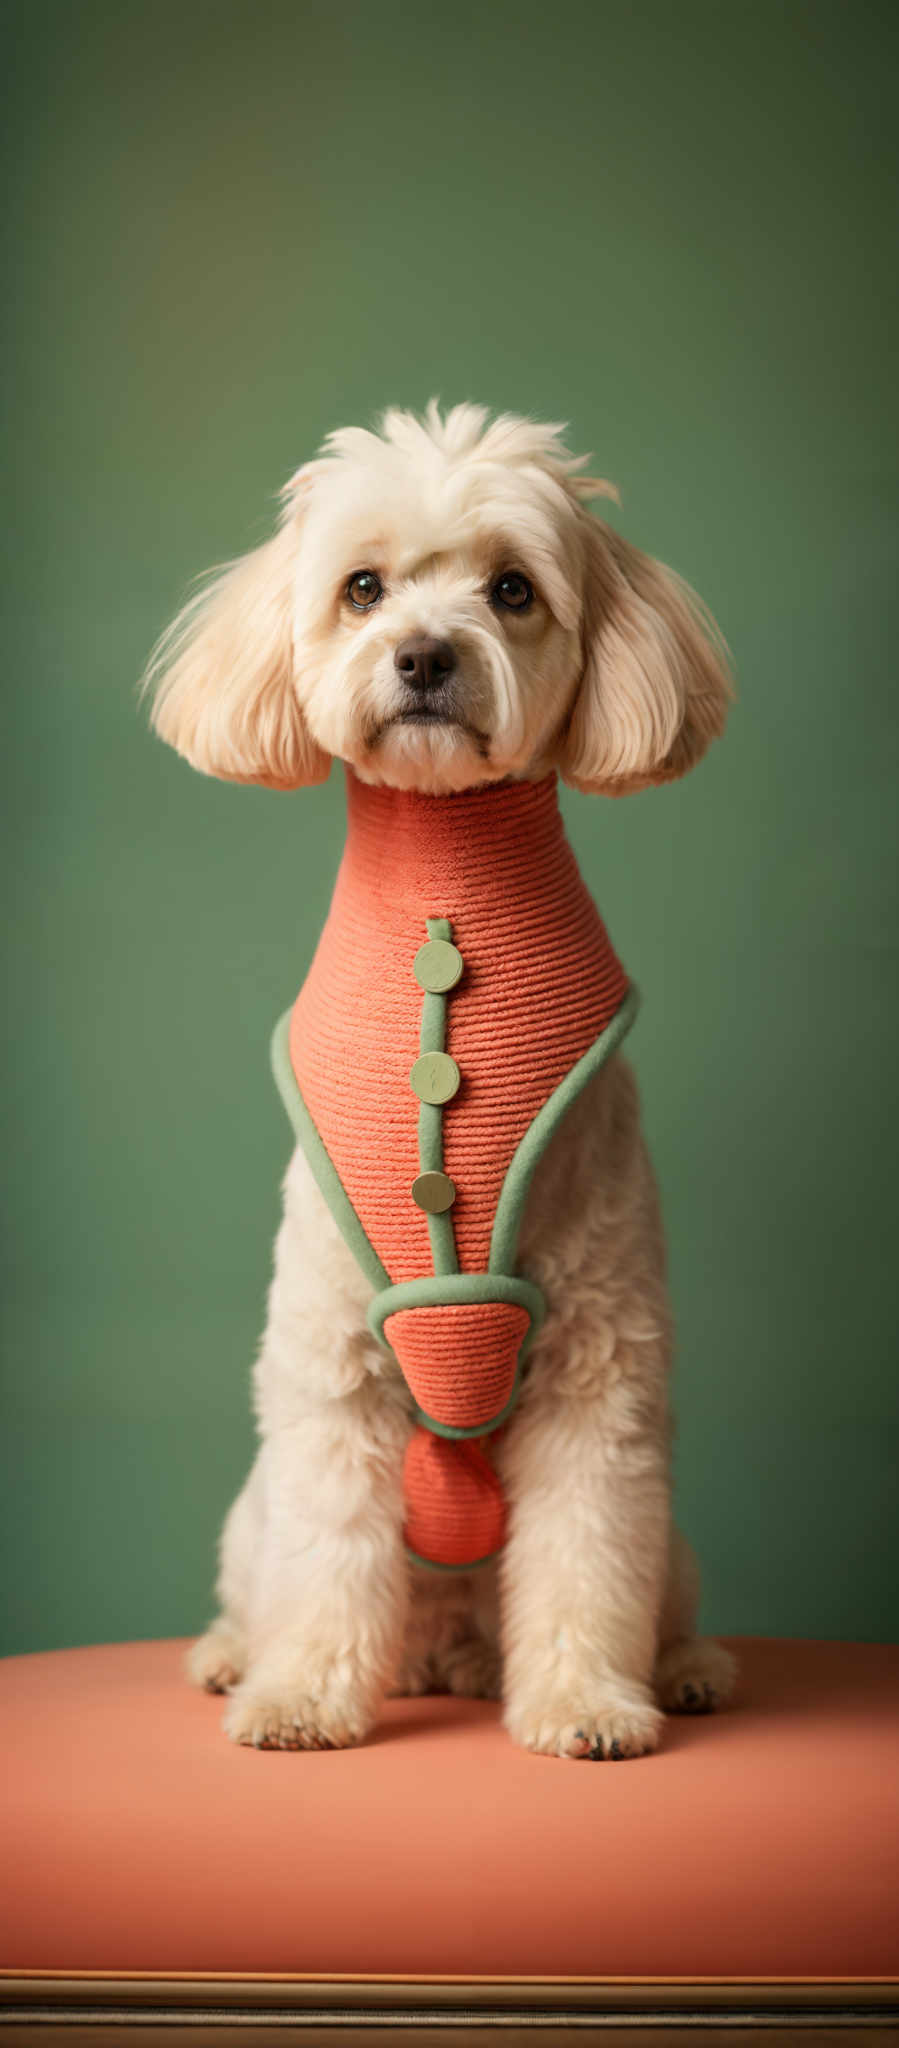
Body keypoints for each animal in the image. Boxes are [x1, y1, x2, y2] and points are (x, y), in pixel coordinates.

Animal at [146, 399, 737, 1761]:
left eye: (510, 590)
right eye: (361, 589)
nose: (421, 654)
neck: (445, 872)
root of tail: (440, 1645)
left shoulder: (598, 1378)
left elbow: (586, 1556)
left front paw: (586, 1703)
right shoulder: (330, 1378)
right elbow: (327, 1558)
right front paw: (300, 1696)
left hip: (674, 1534)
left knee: (646, 1588)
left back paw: (677, 1666)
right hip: (250, 1512)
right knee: (273, 1577)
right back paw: (234, 1652)